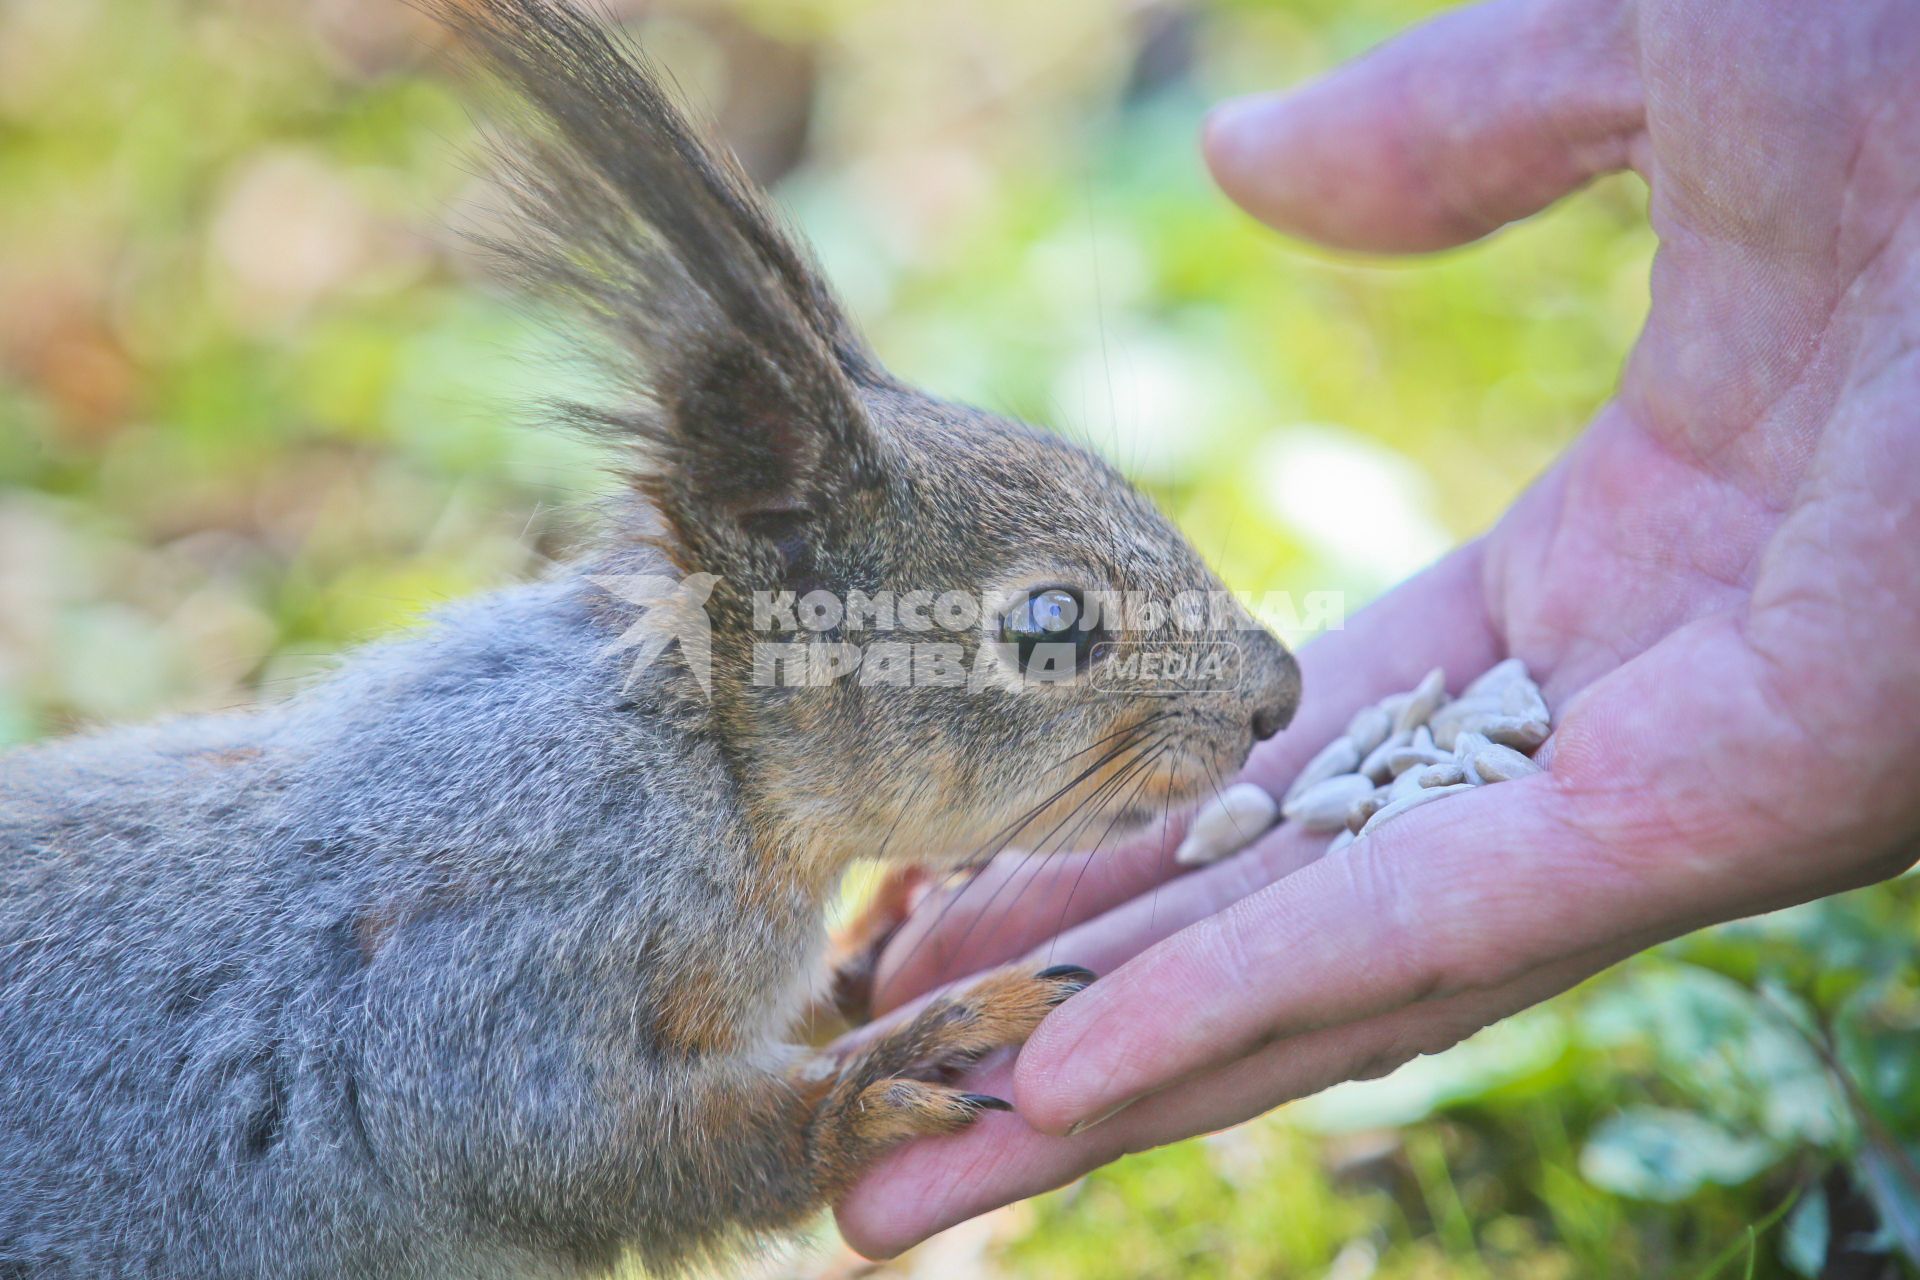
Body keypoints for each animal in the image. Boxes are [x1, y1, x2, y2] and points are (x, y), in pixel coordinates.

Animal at [0, 2, 1305, 1280]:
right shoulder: (487, 968)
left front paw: (876, 945)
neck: (708, 756)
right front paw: (883, 1081)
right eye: (1051, 623)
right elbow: (575, 1142)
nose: (1279, 695)